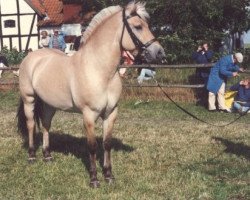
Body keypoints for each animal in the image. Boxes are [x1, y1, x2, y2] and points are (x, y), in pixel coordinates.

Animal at [17, 1, 166, 187]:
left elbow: (106, 143)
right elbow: (93, 146)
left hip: (49, 104)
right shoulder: (89, 115)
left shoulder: (111, 113)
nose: (160, 53)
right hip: (29, 99)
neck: (100, 70)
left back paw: (47, 155)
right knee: (31, 125)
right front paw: (94, 179)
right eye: (138, 27)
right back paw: (31, 156)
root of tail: (32, 57)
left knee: (45, 125)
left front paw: (109, 176)